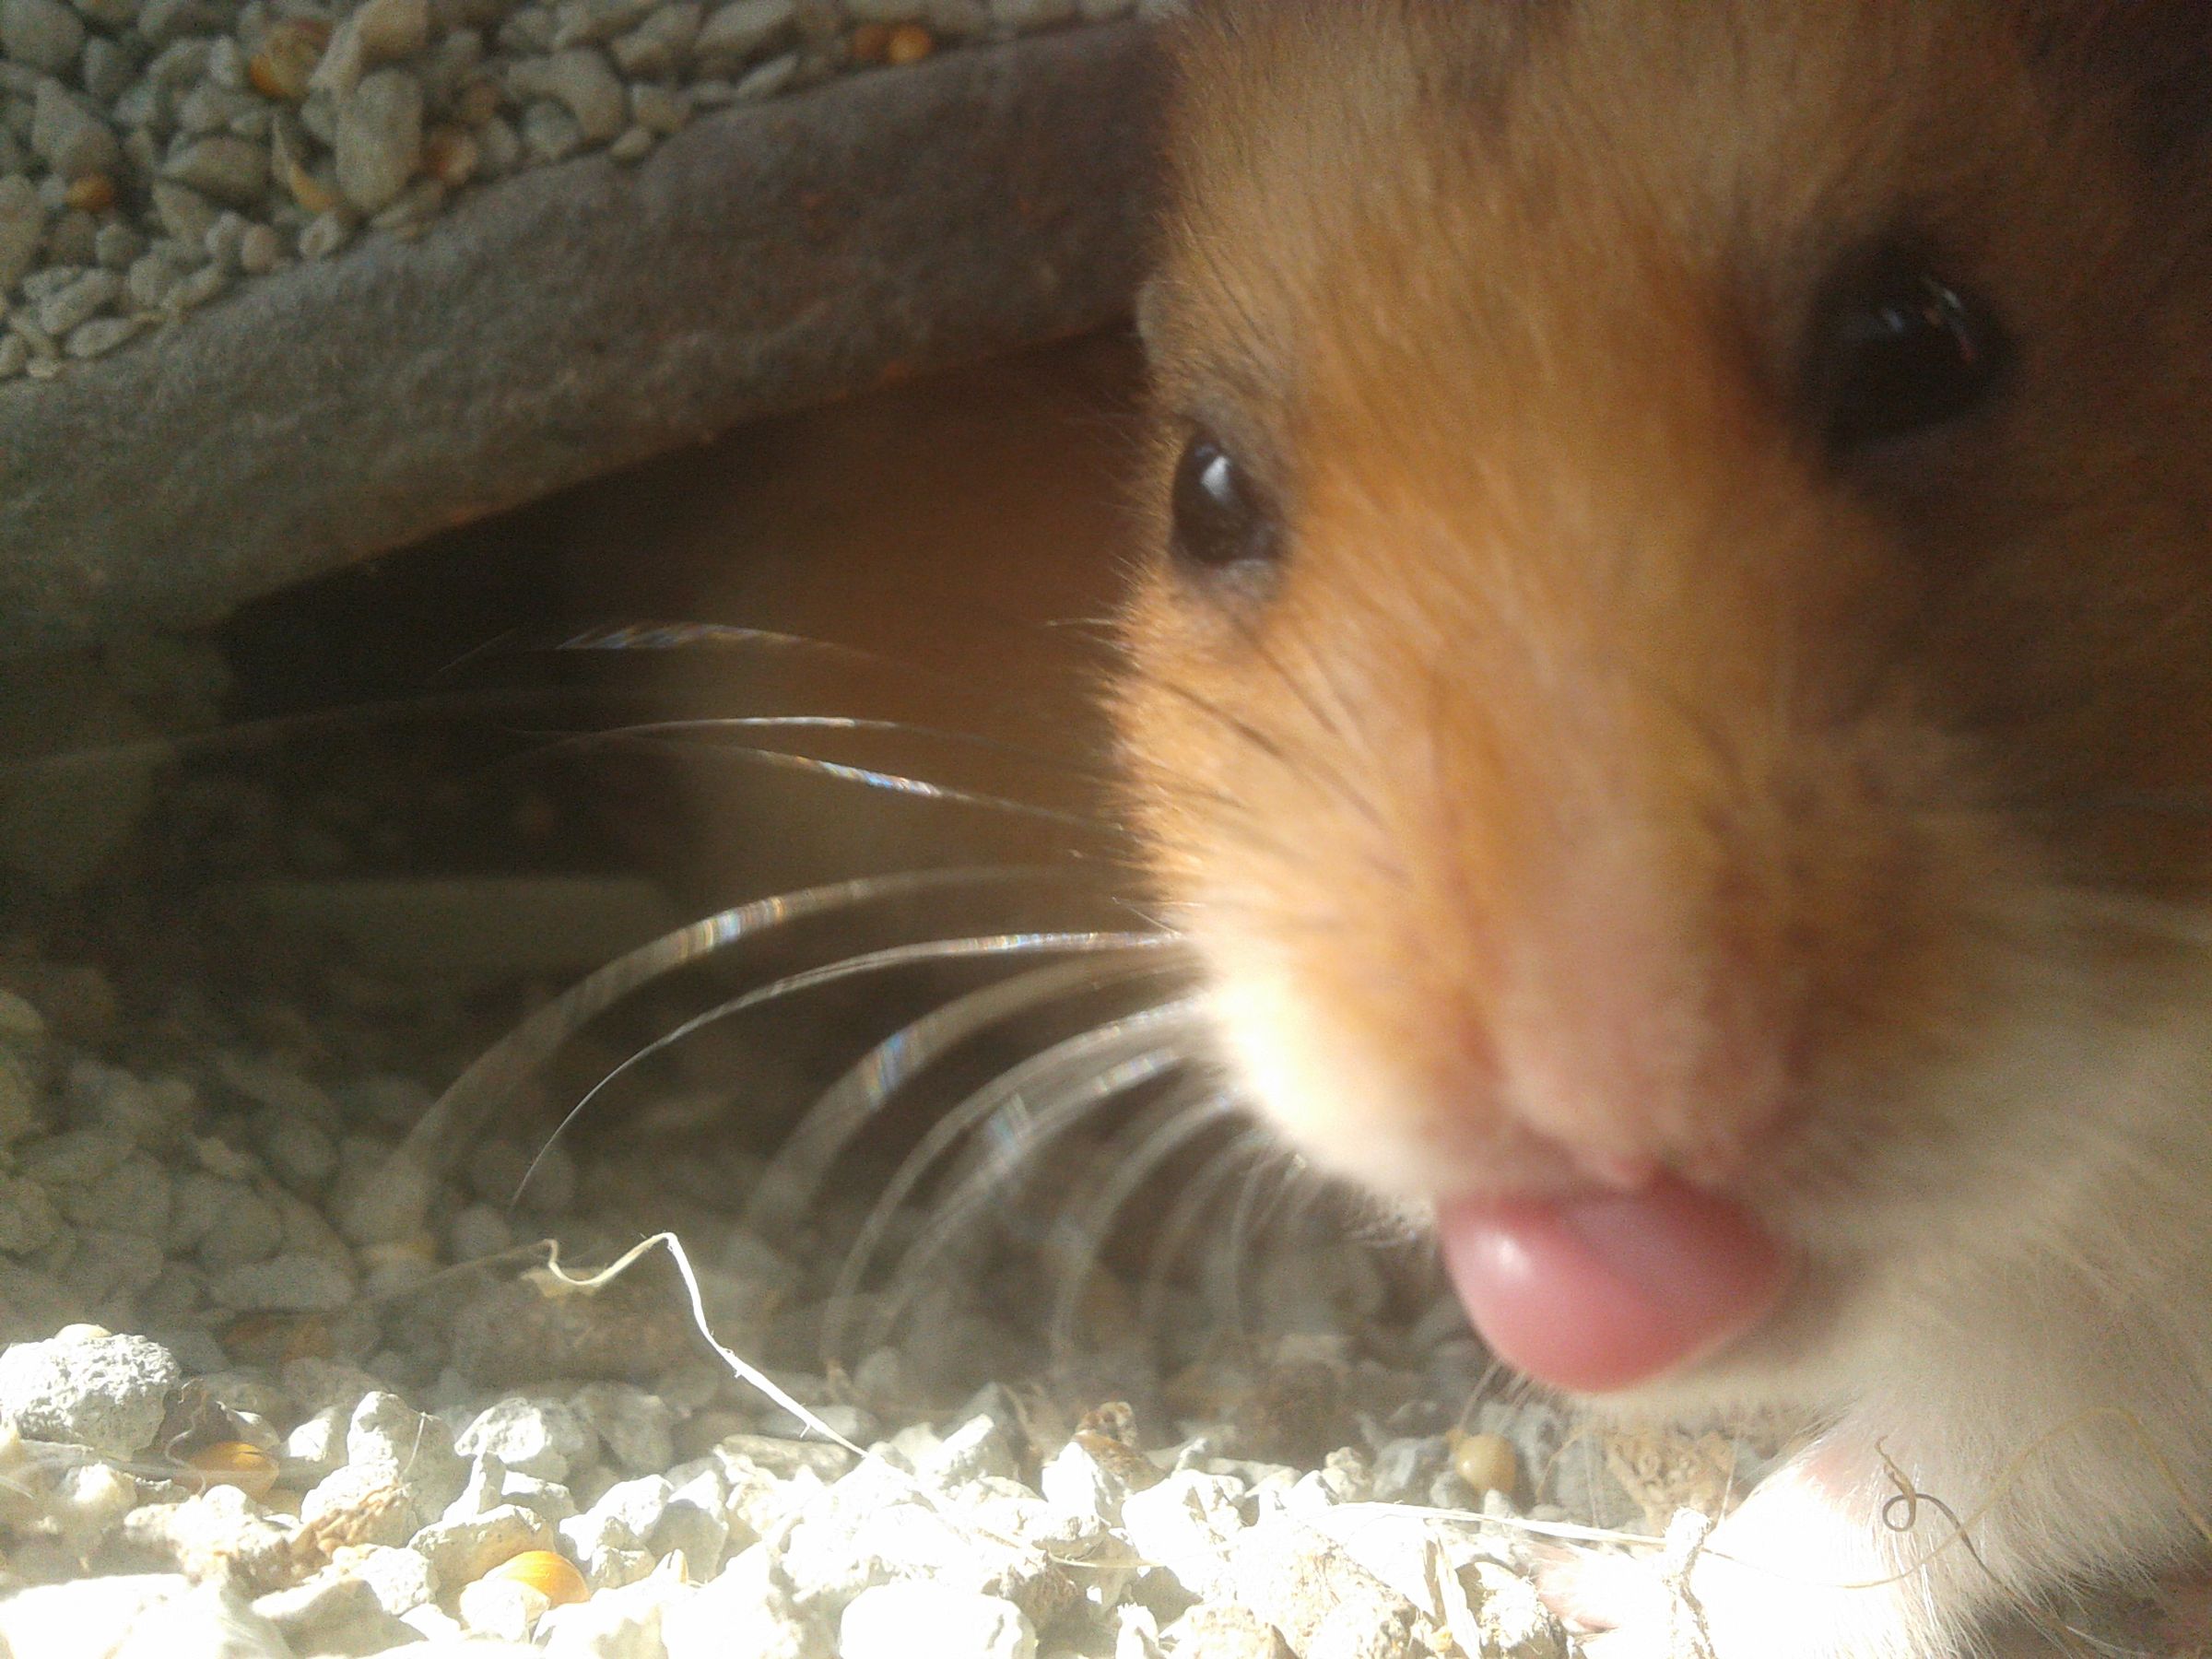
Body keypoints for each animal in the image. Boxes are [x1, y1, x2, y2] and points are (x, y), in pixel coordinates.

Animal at [1112, 3, 2212, 1655]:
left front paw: (1575, 1592)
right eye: (1208, 495)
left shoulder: (2119, 1353)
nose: (1609, 1108)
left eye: (1921, 343)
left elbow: (1903, 1480)